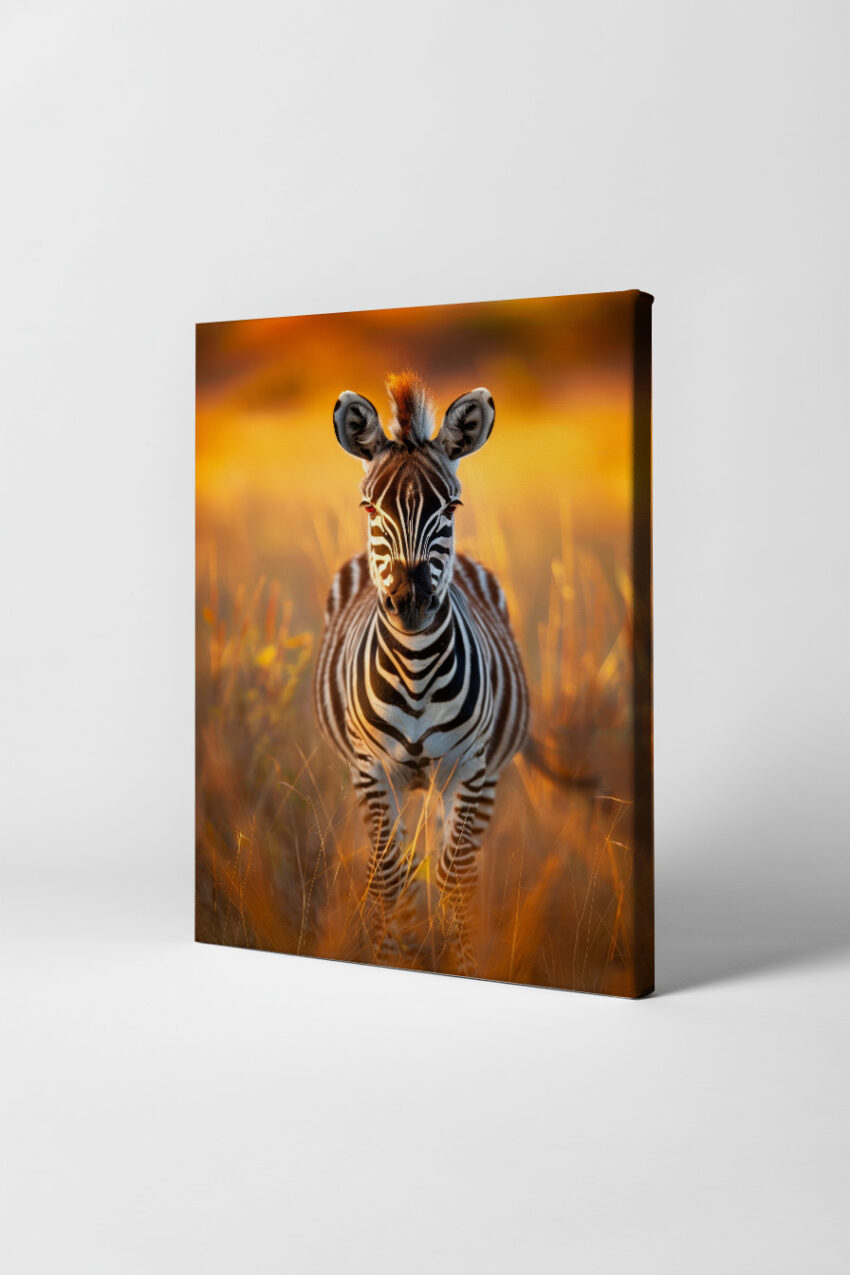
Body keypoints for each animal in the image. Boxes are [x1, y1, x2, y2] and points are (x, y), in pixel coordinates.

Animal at [313, 371, 529, 971]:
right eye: (369, 509)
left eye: (451, 508)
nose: (411, 601)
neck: (413, 671)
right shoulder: (372, 770)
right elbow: (389, 879)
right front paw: (390, 955)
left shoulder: (469, 768)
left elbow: (453, 880)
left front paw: (463, 964)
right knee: (402, 866)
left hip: (473, 779)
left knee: (454, 863)